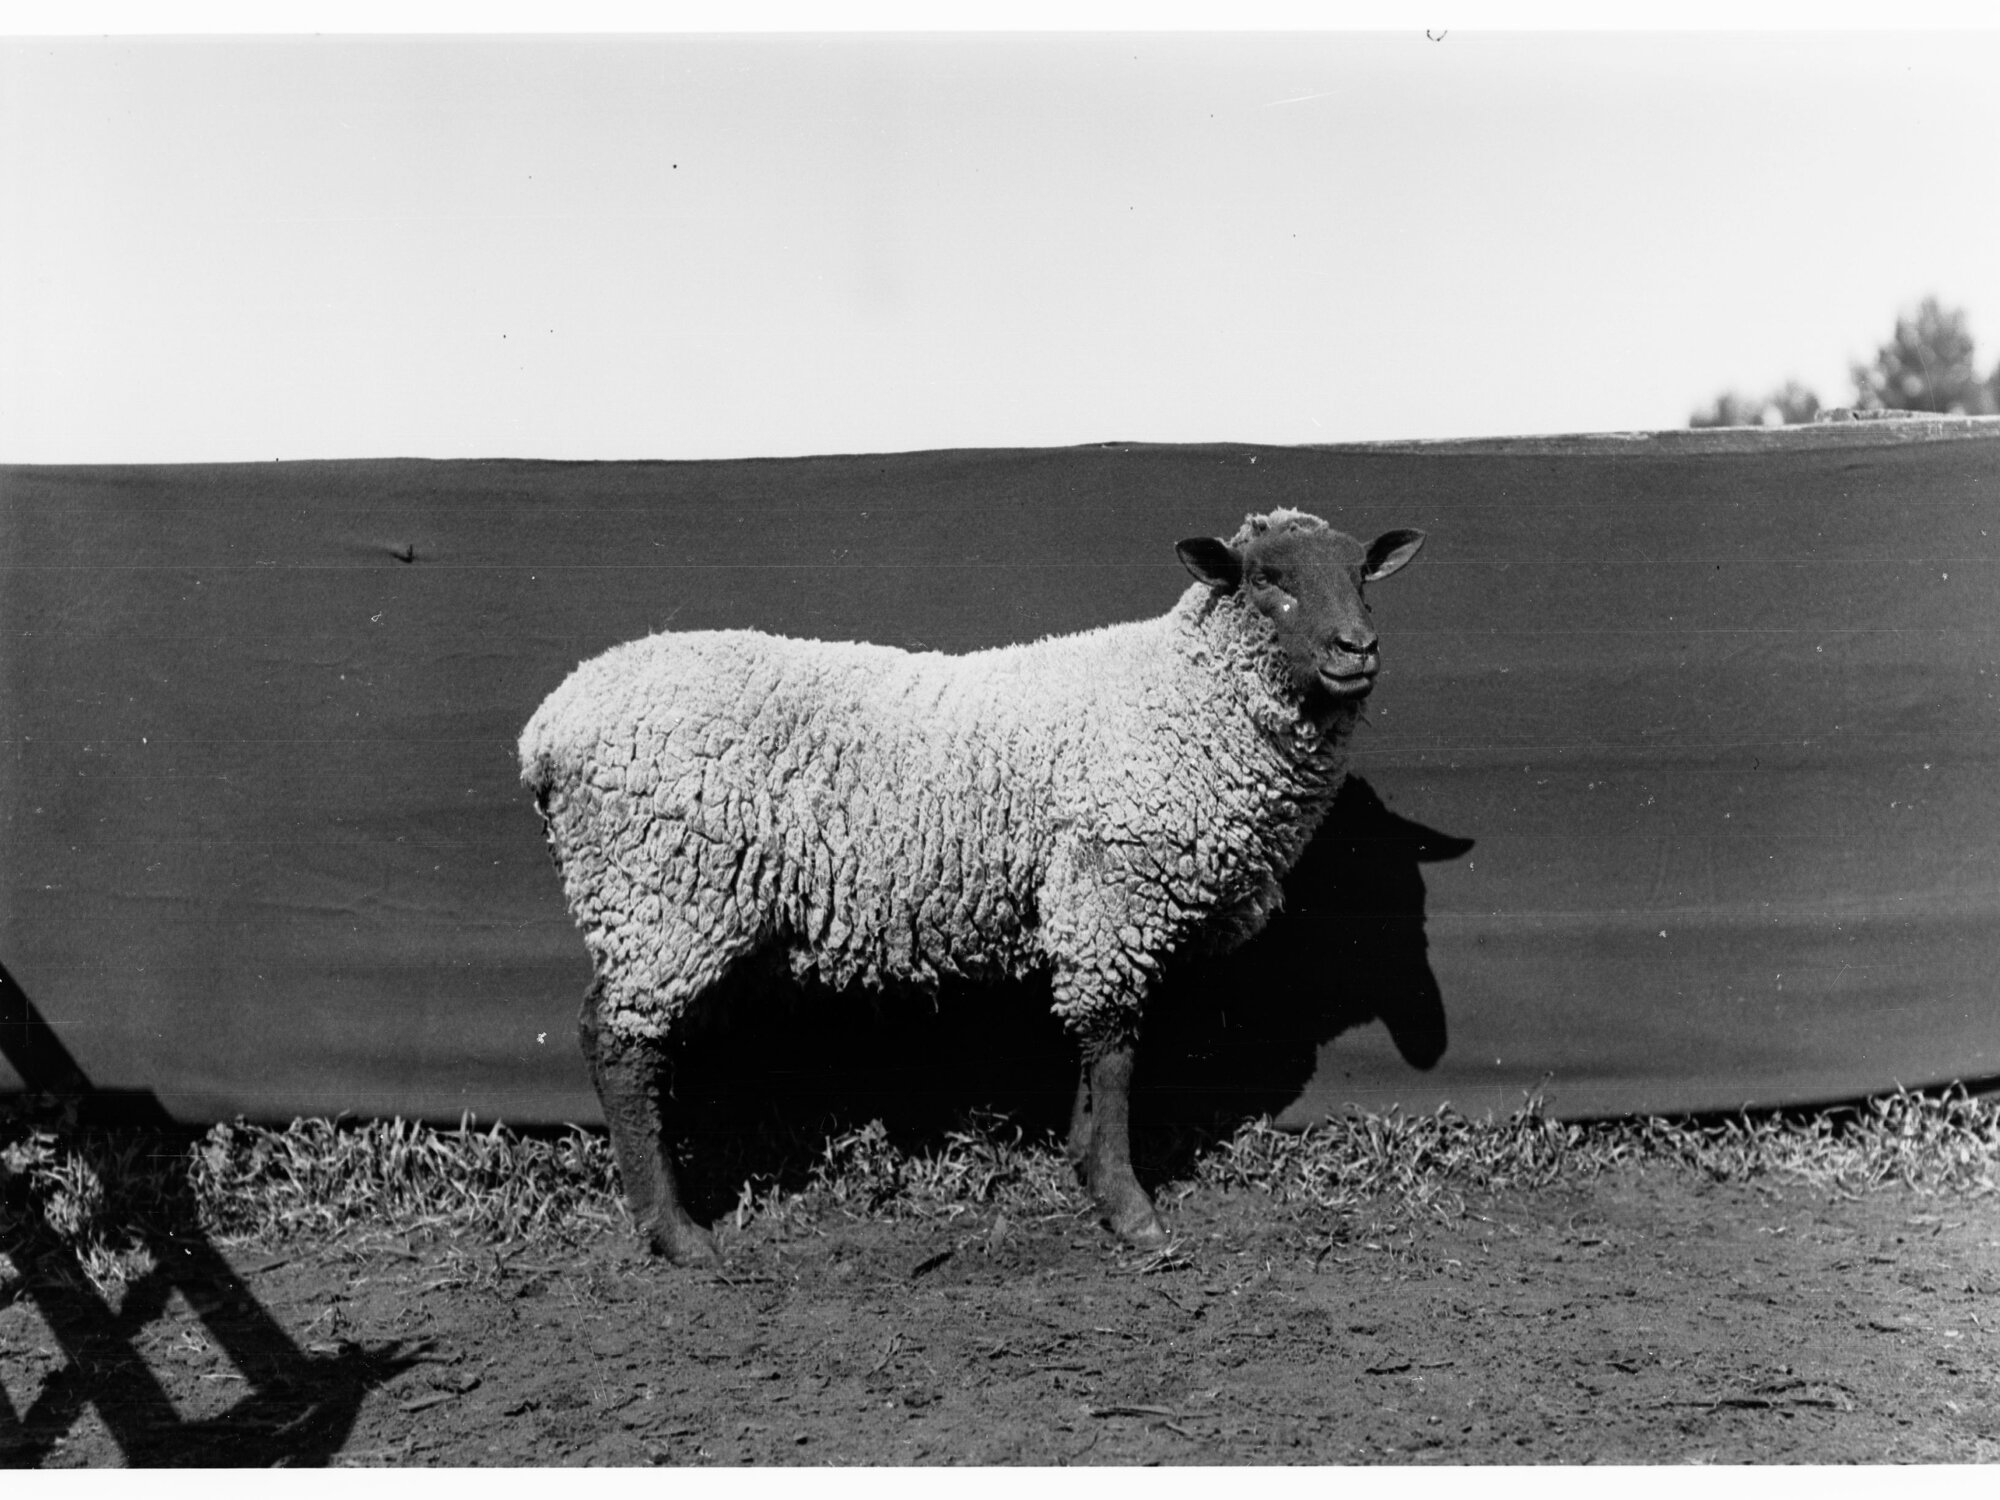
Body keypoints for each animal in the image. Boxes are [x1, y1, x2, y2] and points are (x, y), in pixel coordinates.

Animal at [520, 507, 1425, 1264]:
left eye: (1363, 574)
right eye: (1269, 580)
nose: (1358, 650)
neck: (1179, 699)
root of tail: (547, 728)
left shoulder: (1090, 909)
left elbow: (1095, 1050)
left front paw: (1084, 1166)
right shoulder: (1110, 897)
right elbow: (1116, 1051)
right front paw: (1129, 1207)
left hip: (666, 902)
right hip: (664, 891)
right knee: (618, 1043)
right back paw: (676, 1234)